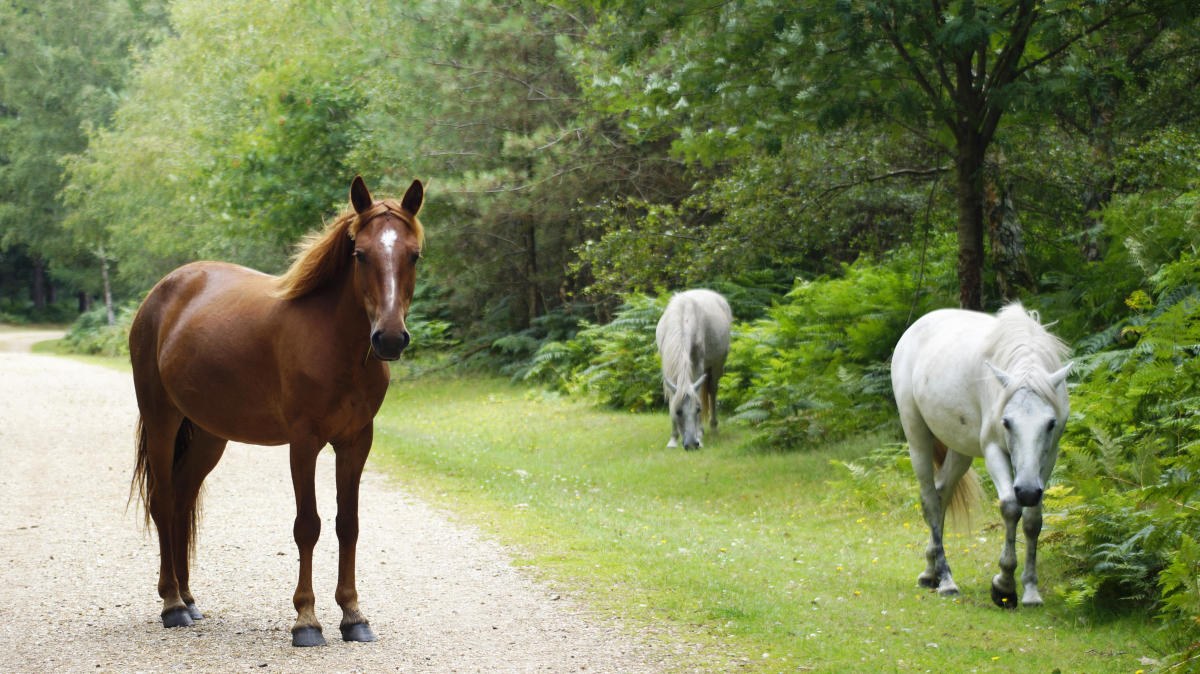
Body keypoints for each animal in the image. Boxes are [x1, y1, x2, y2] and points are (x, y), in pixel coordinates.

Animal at [128, 176, 425, 646]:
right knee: (162, 501)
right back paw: (172, 604)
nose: (390, 338)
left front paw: (353, 616)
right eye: (360, 254)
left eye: (413, 254)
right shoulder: (303, 443)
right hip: (161, 420)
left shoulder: (356, 441)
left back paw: (190, 601)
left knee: (182, 500)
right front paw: (307, 620)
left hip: (210, 435)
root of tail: (163, 291)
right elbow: (308, 525)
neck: (334, 342)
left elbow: (348, 524)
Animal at [655, 289, 732, 450]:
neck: (683, 319)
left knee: (712, 391)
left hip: (717, 365)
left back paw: (713, 427)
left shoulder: (698, 365)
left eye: (698, 409)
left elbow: (699, 393)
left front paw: (700, 435)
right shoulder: (668, 366)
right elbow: (672, 397)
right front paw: (673, 439)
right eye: (678, 411)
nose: (692, 444)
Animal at [890, 303, 1071, 608]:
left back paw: (931, 572)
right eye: (1006, 422)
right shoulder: (993, 450)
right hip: (917, 436)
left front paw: (1031, 590)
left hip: (960, 450)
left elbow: (1033, 519)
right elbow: (1010, 507)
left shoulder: (1048, 458)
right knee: (930, 501)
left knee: (942, 494)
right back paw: (946, 580)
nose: (1027, 491)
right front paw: (1004, 585)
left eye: (1050, 424)